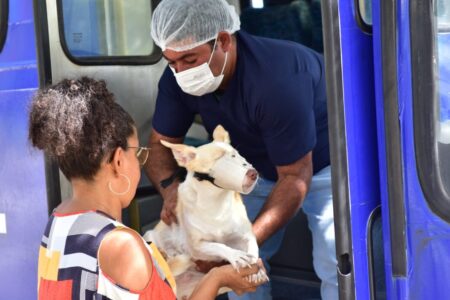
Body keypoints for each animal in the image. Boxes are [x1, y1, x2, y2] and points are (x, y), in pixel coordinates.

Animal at [144, 125, 268, 298]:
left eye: (237, 155)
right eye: (218, 159)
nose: (253, 173)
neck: (216, 206)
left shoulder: (246, 235)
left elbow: (253, 248)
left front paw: (257, 268)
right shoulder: (197, 247)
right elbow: (219, 246)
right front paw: (235, 255)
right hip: (150, 237)